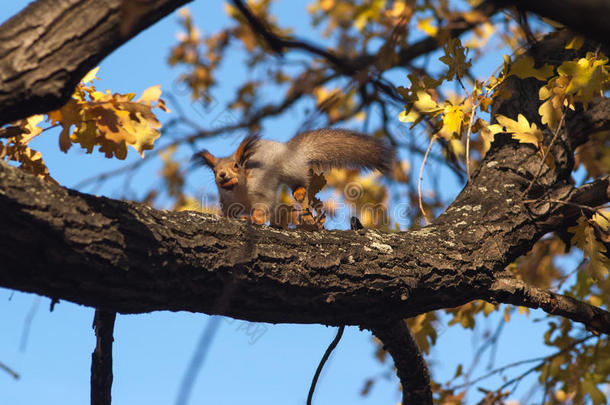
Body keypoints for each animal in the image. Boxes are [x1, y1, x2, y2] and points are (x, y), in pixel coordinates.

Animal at [197, 128, 392, 224]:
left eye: (236, 166)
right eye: (214, 170)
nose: (222, 175)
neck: (239, 191)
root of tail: (291, 150)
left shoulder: (261, 188)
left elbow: (264, 206)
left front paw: (255, 219)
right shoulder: (228, 201)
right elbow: (228, 213)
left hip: (289, 168)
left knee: (300, 180)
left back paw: (299, 192)